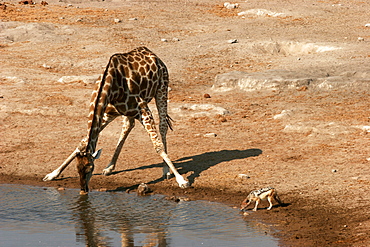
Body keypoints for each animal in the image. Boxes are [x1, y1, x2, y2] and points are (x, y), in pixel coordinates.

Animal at [43, 46, 188, 193]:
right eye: (77, 169)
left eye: (90, 169)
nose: (84, 190)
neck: (110, 84)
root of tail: (153, 54)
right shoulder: (107, 112)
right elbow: (82, 142)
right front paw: (53, 174)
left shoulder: (143, 109)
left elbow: (157, 146)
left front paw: (181, 180)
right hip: (121, 112)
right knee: (128, 126)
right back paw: (109, 167)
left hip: (162, 89)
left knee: (162, 127)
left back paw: (166, 171)